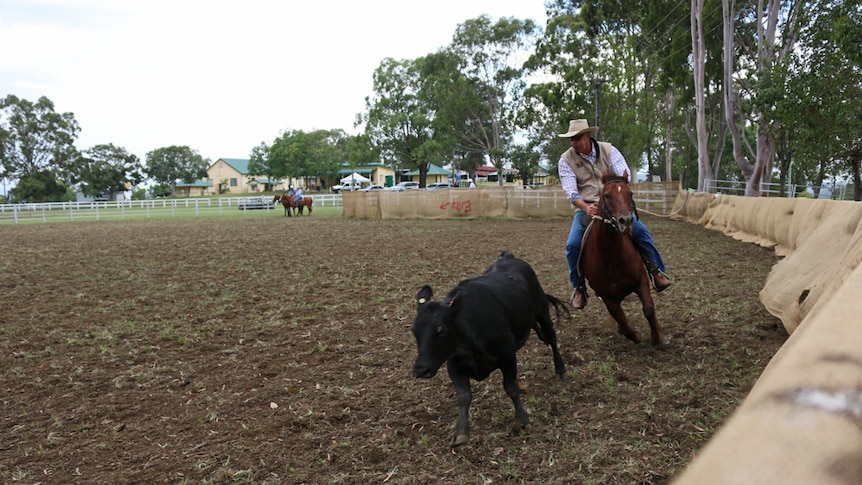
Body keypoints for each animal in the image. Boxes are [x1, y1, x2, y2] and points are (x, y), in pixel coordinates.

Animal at [584, 171, 672, 348]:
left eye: (630, 193)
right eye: (607, 195)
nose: (626, 221)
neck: (611, 256)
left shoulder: (641, 280)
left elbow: (649, 309)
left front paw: (657, 337)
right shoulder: (607, 297)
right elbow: (621, 320)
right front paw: (635, 335)